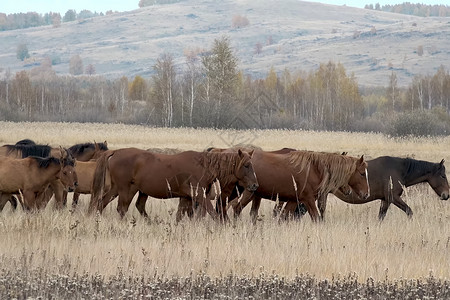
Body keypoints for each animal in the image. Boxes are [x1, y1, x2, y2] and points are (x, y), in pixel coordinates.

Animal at [88, 147, 258, 219]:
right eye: (246, 165)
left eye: (251, 164)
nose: (255, 185)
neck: (204, 165)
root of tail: (115, 152)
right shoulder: (199, 195)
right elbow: (214, 214)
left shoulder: (186, 197)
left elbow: (179, 216)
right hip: (126, 189)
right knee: (121, 209)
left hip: (117, 189)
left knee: (101, 203)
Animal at [229, 150, 370, 223]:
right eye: (362, 173)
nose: (366, 194)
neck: (315, 169)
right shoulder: (308, 200)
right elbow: (317, 218)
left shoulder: (293, 200)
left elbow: (283, 218)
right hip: (249, 193)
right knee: (236, 209)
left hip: (256, 195)